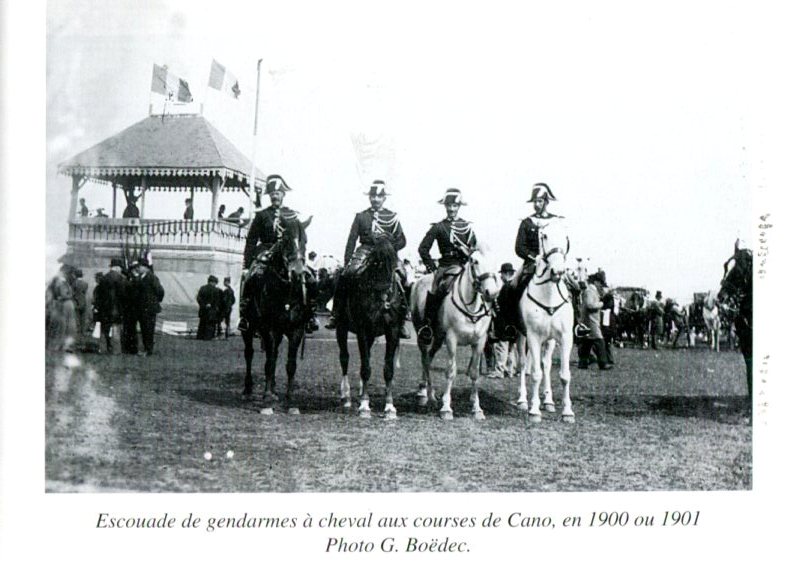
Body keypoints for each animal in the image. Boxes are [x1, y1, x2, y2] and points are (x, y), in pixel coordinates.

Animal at [243, 217, 310, 412]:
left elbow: (290, 364)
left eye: (305, 241)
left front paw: (290, 400)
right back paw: (248, 389)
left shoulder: (296, 330)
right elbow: (270, 362)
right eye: (285, 240)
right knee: (249, 353)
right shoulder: (269, 329)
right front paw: (266, 399)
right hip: (249, 329)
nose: (297, 272)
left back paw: (274, 391)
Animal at [336, 234, 404, 418]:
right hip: (341, 329)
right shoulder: (362, 330)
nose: (386, 298)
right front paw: (365, 405)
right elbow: (365, 368)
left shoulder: (392, 331)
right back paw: (346, 396)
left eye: (393, 261)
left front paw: (389, 406)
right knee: (344, 358)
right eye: (375, 262)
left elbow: (388, 369)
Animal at [412, 246, 498, 420]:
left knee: (429, 358)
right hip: (423, 336)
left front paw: (477, 409)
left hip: (438, 338)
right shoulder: (452, 340)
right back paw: (424, 394)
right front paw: (446, 408)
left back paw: (430, 394)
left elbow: (474, 373)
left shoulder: (479, 342)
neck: (470, 306)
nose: (491, 293)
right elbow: (451, 372)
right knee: (424, 359)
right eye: (475, 261)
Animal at [516, 220, 576, 420]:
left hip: (550, 340)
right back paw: (522, 400)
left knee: (547, 365)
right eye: (544, 236)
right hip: (521, 337)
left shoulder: (565, 338)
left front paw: (567, 412)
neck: (549, 294)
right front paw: (534, 411)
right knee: (523, 364)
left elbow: (564, 375)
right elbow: (535, 374)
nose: (558, 271)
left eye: (566, 237)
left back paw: (549, 401)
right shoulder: (533, 336)